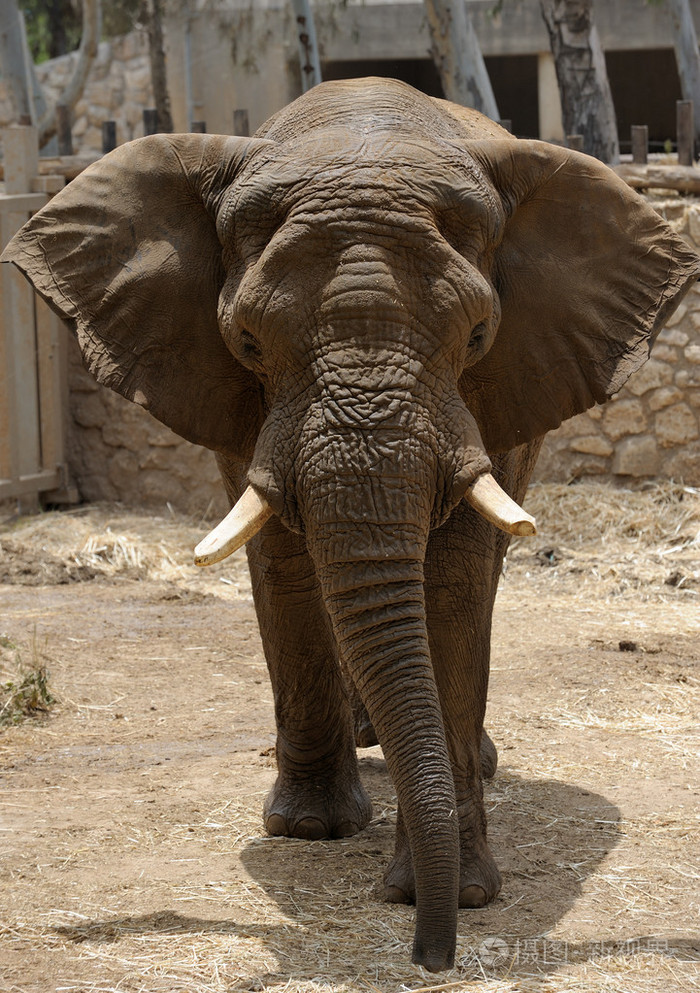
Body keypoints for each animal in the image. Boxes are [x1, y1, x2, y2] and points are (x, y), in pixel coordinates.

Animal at [2, 79, 696, 976]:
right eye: (247, 340)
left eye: (479, 335)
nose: (430, 956)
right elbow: (284, 560)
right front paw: (312, 833)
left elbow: (454, 582)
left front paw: (455, 892)